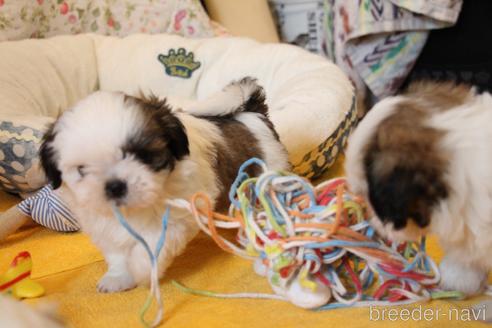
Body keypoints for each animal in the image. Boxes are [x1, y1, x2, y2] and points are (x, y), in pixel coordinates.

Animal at [40, 78, 290, 294]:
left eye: (143, 155)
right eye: (81, 169)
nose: (115, 186)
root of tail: (252, 113)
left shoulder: (178, 213)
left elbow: (151, 245)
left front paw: (141, 271)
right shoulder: (105, 225)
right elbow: (116, 251)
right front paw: (119, 277)